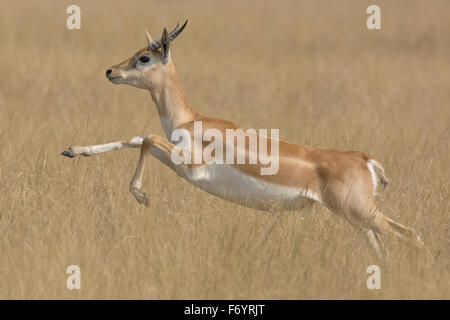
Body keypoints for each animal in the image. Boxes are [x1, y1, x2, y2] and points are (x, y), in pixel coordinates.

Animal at [61, 20, 424, 258]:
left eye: (145, 57)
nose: (111, 71)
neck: (191, 119)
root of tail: (365, 160)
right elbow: (136, 138)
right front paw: (73, 150)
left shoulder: (190, 165)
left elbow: (147, 138)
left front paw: (142, 196)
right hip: (357, 218)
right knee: (382, 247)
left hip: (360, 212)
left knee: (411, 235)